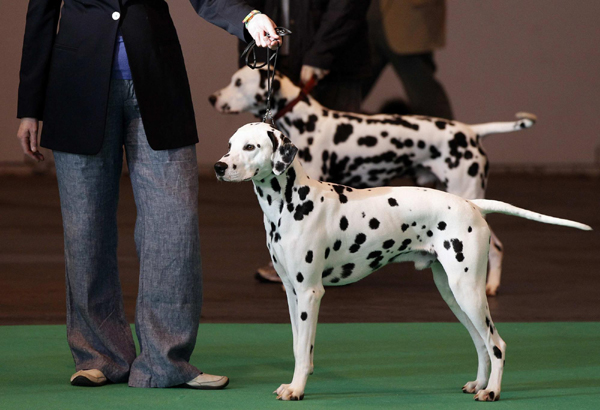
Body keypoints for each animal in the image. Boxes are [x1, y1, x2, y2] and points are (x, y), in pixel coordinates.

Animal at [211, 68, 540, 298]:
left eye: (238, 82)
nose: (212, 98)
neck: (305, 120)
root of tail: (471, 131)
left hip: (466, 192)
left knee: (497, 247)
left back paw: (491, 286)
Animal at [214, 123, 592, 402]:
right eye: (230, 145)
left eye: (251, 147)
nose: (219, 166)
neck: (289, 204)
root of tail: (473, 205)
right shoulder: (292, 294)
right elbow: (298, 346)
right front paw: (295, 382)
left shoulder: (310, 293)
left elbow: (304, 350)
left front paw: (297, 389)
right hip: (454, 296)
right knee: (481, 343)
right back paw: (480, 384)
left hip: (469, 293)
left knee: (496, 344)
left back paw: (493, 391)